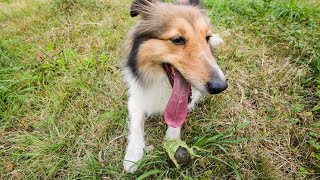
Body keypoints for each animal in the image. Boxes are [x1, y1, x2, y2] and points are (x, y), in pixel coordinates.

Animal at [122, 0, 228, 173]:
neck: (164, 86)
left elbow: (176, 122)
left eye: (207, 38)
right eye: (178, 39)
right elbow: (136, 126)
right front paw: (132, 156)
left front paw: (172, 141)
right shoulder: (136, 99)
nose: (220, 86)